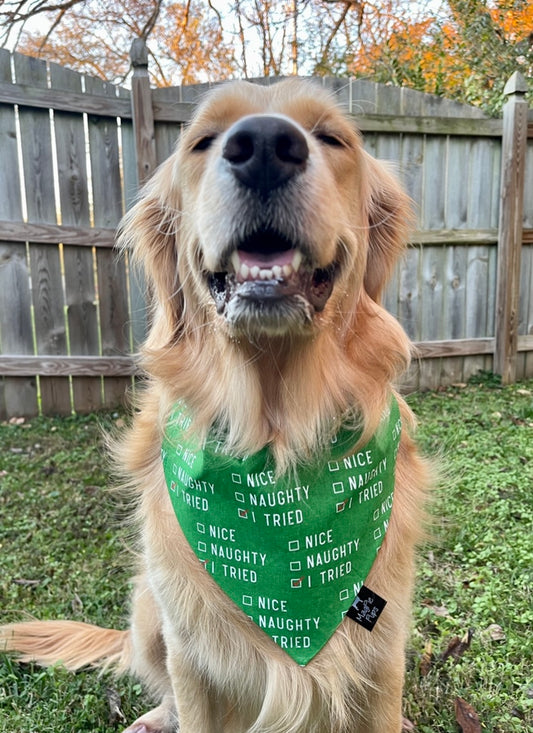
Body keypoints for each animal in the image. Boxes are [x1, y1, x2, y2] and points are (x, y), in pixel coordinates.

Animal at [1, 80, 428, 732]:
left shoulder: (384, 649)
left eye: (332, 137)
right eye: (202, 141)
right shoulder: (192, 653)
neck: (276, 443)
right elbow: (191, 696)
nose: (265, 147)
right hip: (150, 606)